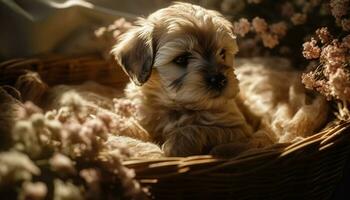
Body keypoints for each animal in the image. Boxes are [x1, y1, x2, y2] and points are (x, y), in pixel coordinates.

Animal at [110, 2, 262, 156]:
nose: (220, 79)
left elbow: (201, 129)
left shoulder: (240, 130)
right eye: (181, 59)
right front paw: (120, 127)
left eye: (222, 53)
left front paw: (176, 144)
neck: (176, 107)